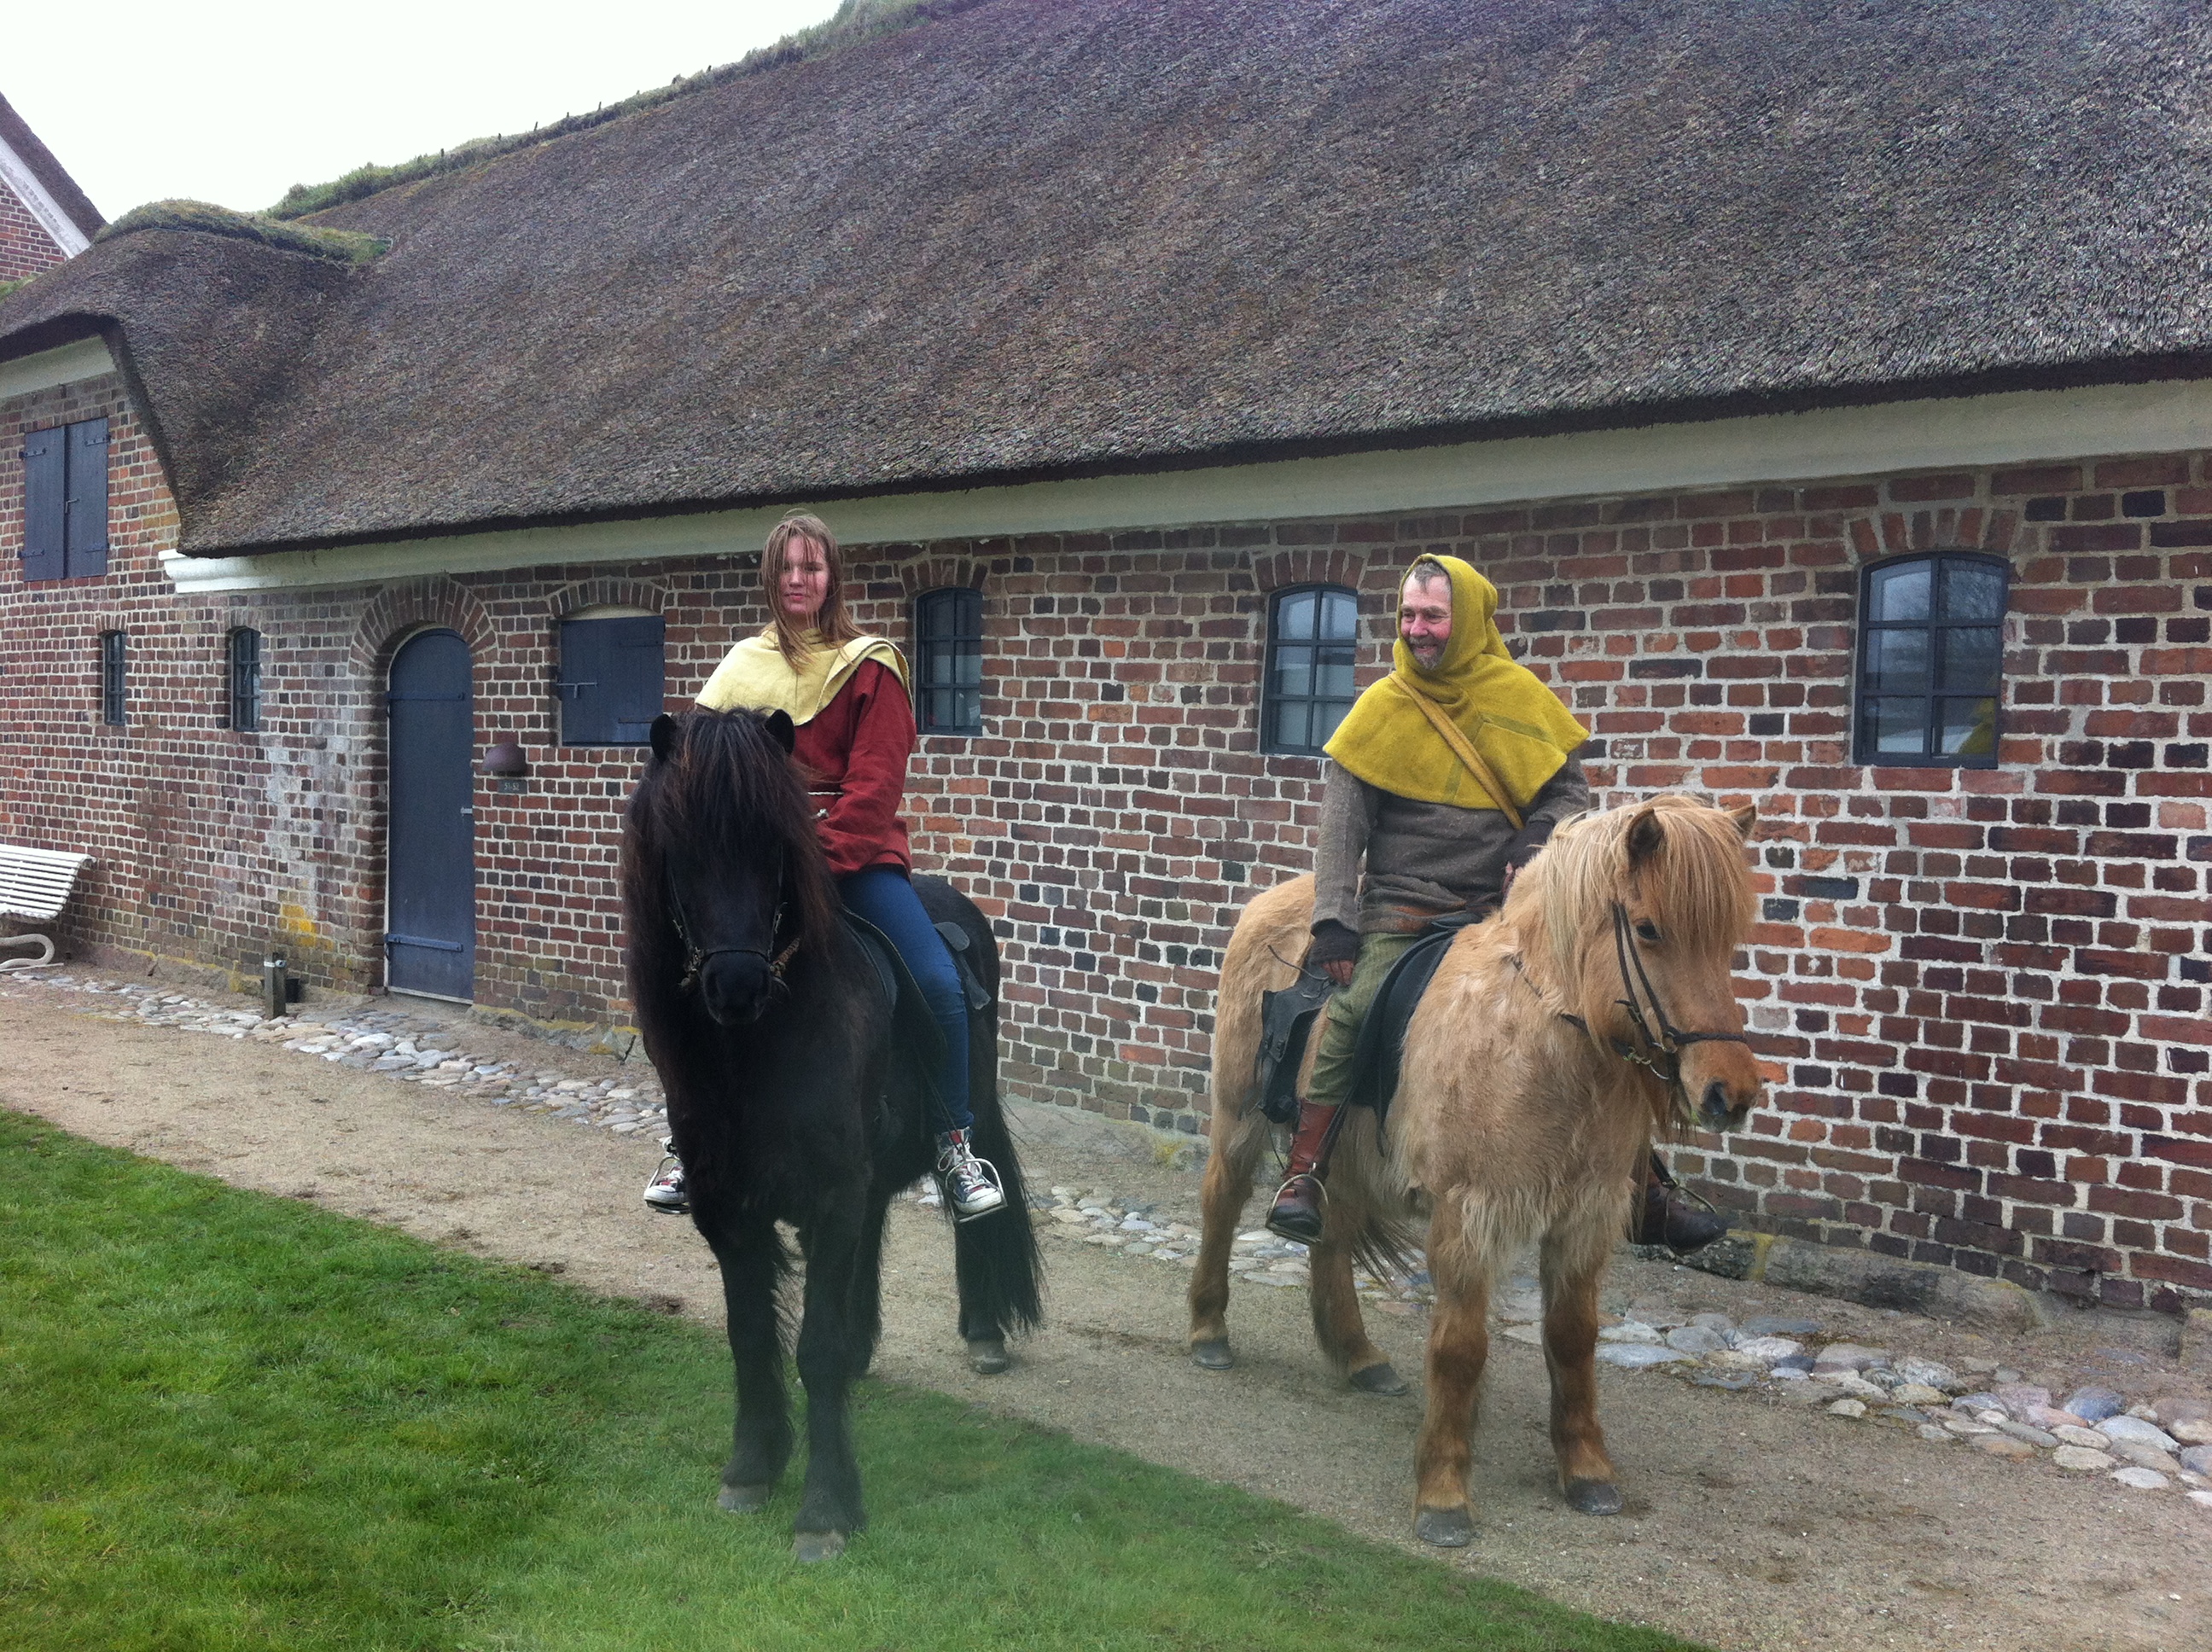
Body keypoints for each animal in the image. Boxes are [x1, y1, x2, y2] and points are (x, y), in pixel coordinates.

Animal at [619, 712, 1039, 1565]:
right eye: (681, 848)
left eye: (777, 845)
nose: (737, 985)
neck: (759, 1049)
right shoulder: (729, 1209)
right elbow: (752, 1333)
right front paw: (752, 1467)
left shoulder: (831, 1196)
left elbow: (811, 1347)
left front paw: (825, 1507)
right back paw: (864, 1351)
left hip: (957, 1117)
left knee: (970, 1214)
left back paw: (981, 1331)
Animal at [1194, 796, 1761, 1548]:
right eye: (1648, 929)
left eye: (1727, 940)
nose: (1731, 1092)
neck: (1543, 1042)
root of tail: (1272, 900)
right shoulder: (1469, 1214)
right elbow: (1460, 1349)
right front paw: (1442, 1493)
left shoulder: (1585, 1218)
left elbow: (1574, 1339)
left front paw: (1586, 1469)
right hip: (1239, 1115)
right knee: (1222, 1203)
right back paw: (1208, 1331)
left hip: (1344, 1158)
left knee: (1330, 1232)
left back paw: (1358, 1355)